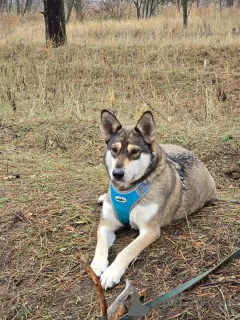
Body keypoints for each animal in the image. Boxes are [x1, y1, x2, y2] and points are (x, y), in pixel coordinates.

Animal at [91, 110, 217, 290]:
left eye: (134, 152)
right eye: (114, 150)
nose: (117, 174)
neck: (126, 190)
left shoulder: (149, 230)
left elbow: (126, 250)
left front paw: (112, 272)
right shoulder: (107, 223)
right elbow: (100, 242)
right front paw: (98, 264)